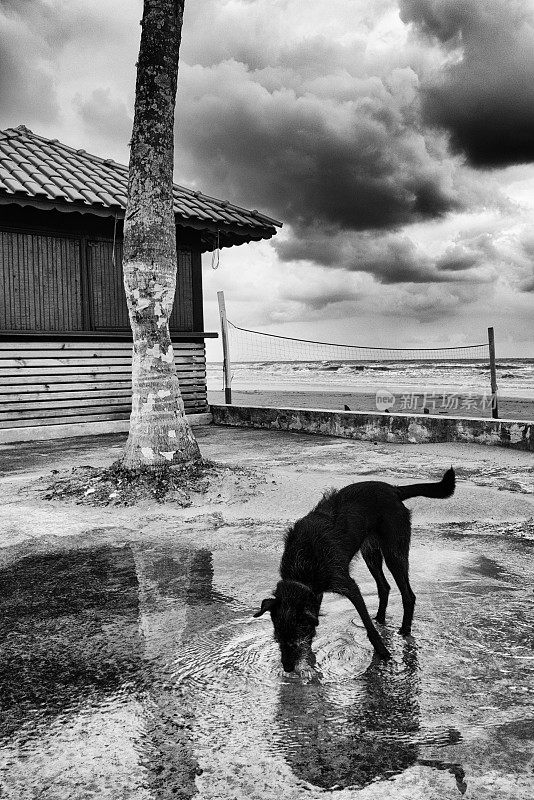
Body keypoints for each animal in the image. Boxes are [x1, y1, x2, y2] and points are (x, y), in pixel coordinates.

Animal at [255, 466, 456, 672]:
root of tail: (393, 489)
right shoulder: (316, 592)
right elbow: (316, 618)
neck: (302, 564)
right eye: (278, 639)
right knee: (384, 586)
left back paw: (405, 630)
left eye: (295, 639)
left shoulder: (348, 585)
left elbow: (368, 625)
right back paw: (380, 618)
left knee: (408, 595)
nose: (287, 668)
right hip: (371, 553)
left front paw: (383, 652)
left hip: (394, 552)